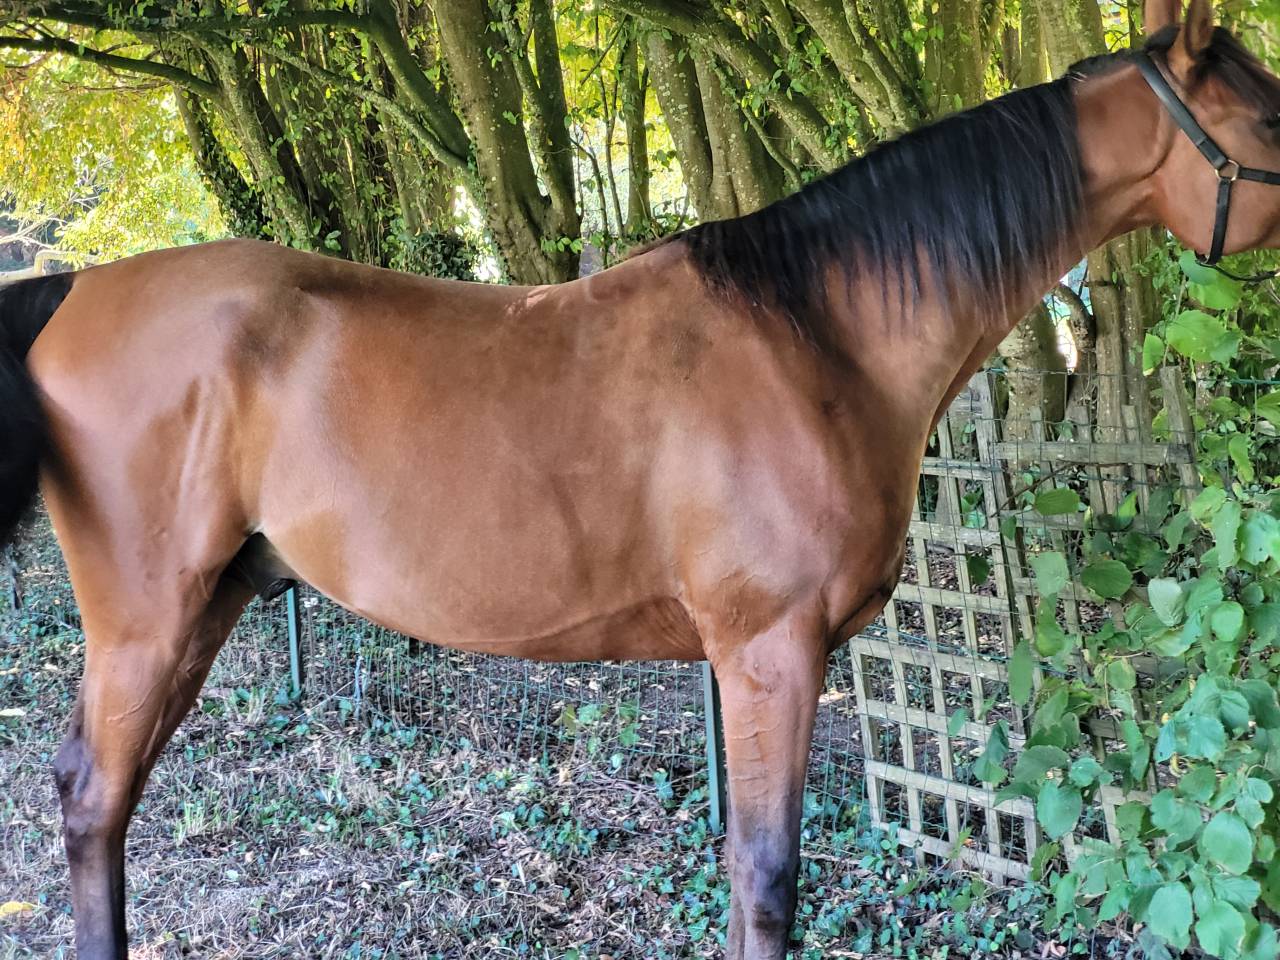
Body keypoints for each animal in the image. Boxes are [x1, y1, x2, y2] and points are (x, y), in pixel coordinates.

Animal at [3, 1, 1280, 957]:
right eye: (1264, 107)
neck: (816, 333)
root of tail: (71, 292)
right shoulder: (769, 653)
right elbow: (765, 878)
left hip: (210, 605)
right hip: (148, 622)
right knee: (92, 800)